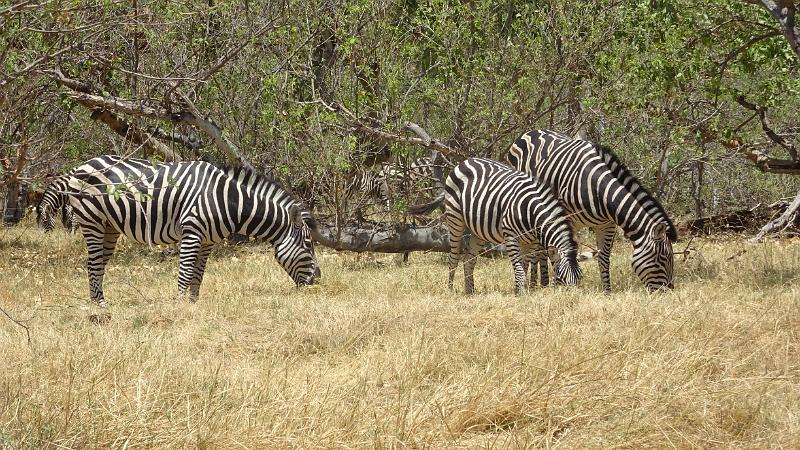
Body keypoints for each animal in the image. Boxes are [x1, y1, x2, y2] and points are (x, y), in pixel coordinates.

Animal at [36, 155, 318, 306]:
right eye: (308, 244)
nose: (318, 279)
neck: (227, 200)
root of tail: (82, 165)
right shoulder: (192, 232)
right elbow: (184, 273)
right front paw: (180, 307)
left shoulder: (207, 241)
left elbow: (198, 274)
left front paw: (193, 304)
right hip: (92, 221)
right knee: (93, 263)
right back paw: (101, 307)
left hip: (109, 227)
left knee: (98, 264)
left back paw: (98, 300)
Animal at [412, 158, 580, 296]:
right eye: (562, 278)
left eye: (580, 278)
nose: (574, 298)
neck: (530, 211)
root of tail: (462, 162)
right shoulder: (511, 237)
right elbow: (519, 268)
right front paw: (522, 294)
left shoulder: (531, 241)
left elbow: (525, 265)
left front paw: (520, 289)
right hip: (455, 220)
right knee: (453, 258)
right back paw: (450, 289)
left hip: (477, 231)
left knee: (469, 259)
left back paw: (470, 291)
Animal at [506, 130, 676, 292]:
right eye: (663, 258)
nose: (668, 290)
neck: (599, 190)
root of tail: (529, 132)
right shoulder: (569, 220)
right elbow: (565, 252)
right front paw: (560, 285)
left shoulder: (607, 225)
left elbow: (604, 258)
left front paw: (607, 292)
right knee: (538, 250)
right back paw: (539, 283)